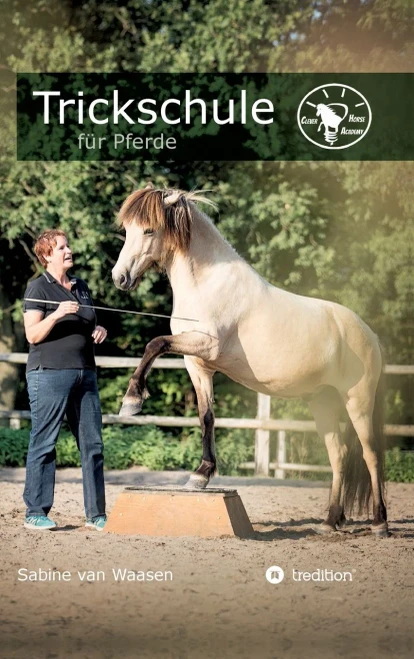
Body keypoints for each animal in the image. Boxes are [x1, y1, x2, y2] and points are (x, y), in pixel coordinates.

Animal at [112, 185, 388, 537]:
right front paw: (201, 475)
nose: (119, 277)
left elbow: (154, 344)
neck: (208, 284)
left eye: (148, 230)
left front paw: (132, 400)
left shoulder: (205, 345)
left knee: (371, 454)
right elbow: (206, 417)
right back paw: (329, 522)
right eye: (127, 230)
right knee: (338, 455)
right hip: (323, 402)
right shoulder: (197, 363)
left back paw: (380, 522)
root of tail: (370, 335)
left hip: (358, 400)